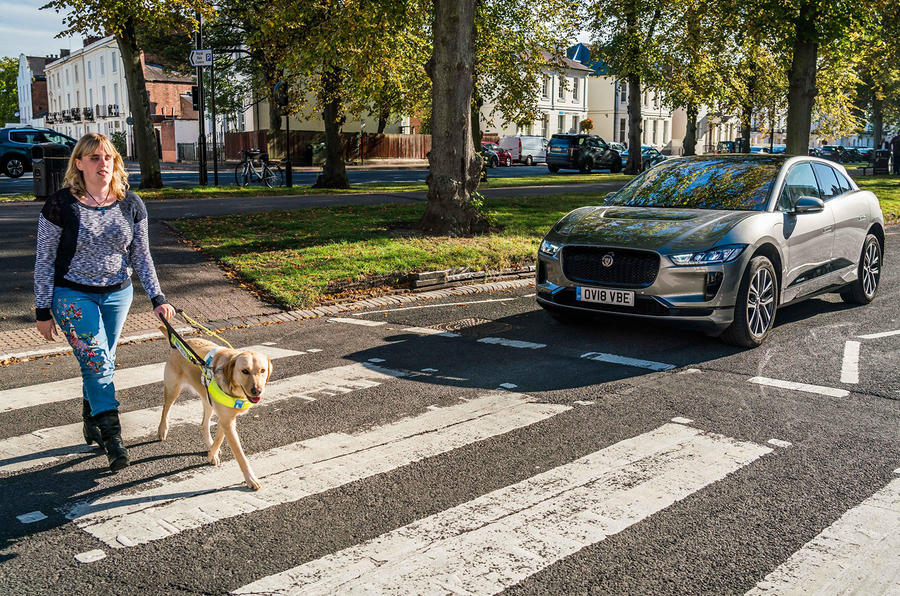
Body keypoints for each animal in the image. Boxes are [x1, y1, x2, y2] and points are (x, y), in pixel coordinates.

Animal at [158, 332, 272, 492]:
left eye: (262, 370)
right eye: (245, 371)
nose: (257, 390)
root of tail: (181, 341)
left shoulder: (226, 419)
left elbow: (219, 438)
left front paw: (212, 453)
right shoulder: (227, 422)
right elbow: (240, 455)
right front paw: (251, 479)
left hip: (207, 400)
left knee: (203, 424)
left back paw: (209, 444)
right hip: (173, 390)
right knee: (165, 409)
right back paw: (162, 430)